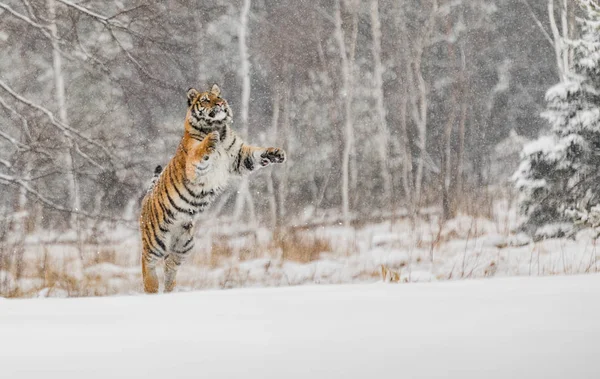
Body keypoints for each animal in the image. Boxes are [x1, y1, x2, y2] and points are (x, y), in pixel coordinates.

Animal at [139, 84, 284, 296]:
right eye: (206, 100)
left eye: (219, 96)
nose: (221, 103)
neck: (218, 128)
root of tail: (146, 198)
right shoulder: (194, 165)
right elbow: (200, 150)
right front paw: (210, 139)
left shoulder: (239, 157)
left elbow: (256, 154)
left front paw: (276, 153)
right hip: (154, 245)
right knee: (147, 268)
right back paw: (152, 291)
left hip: (184, 246)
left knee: (170, 266)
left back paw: (170, 291)